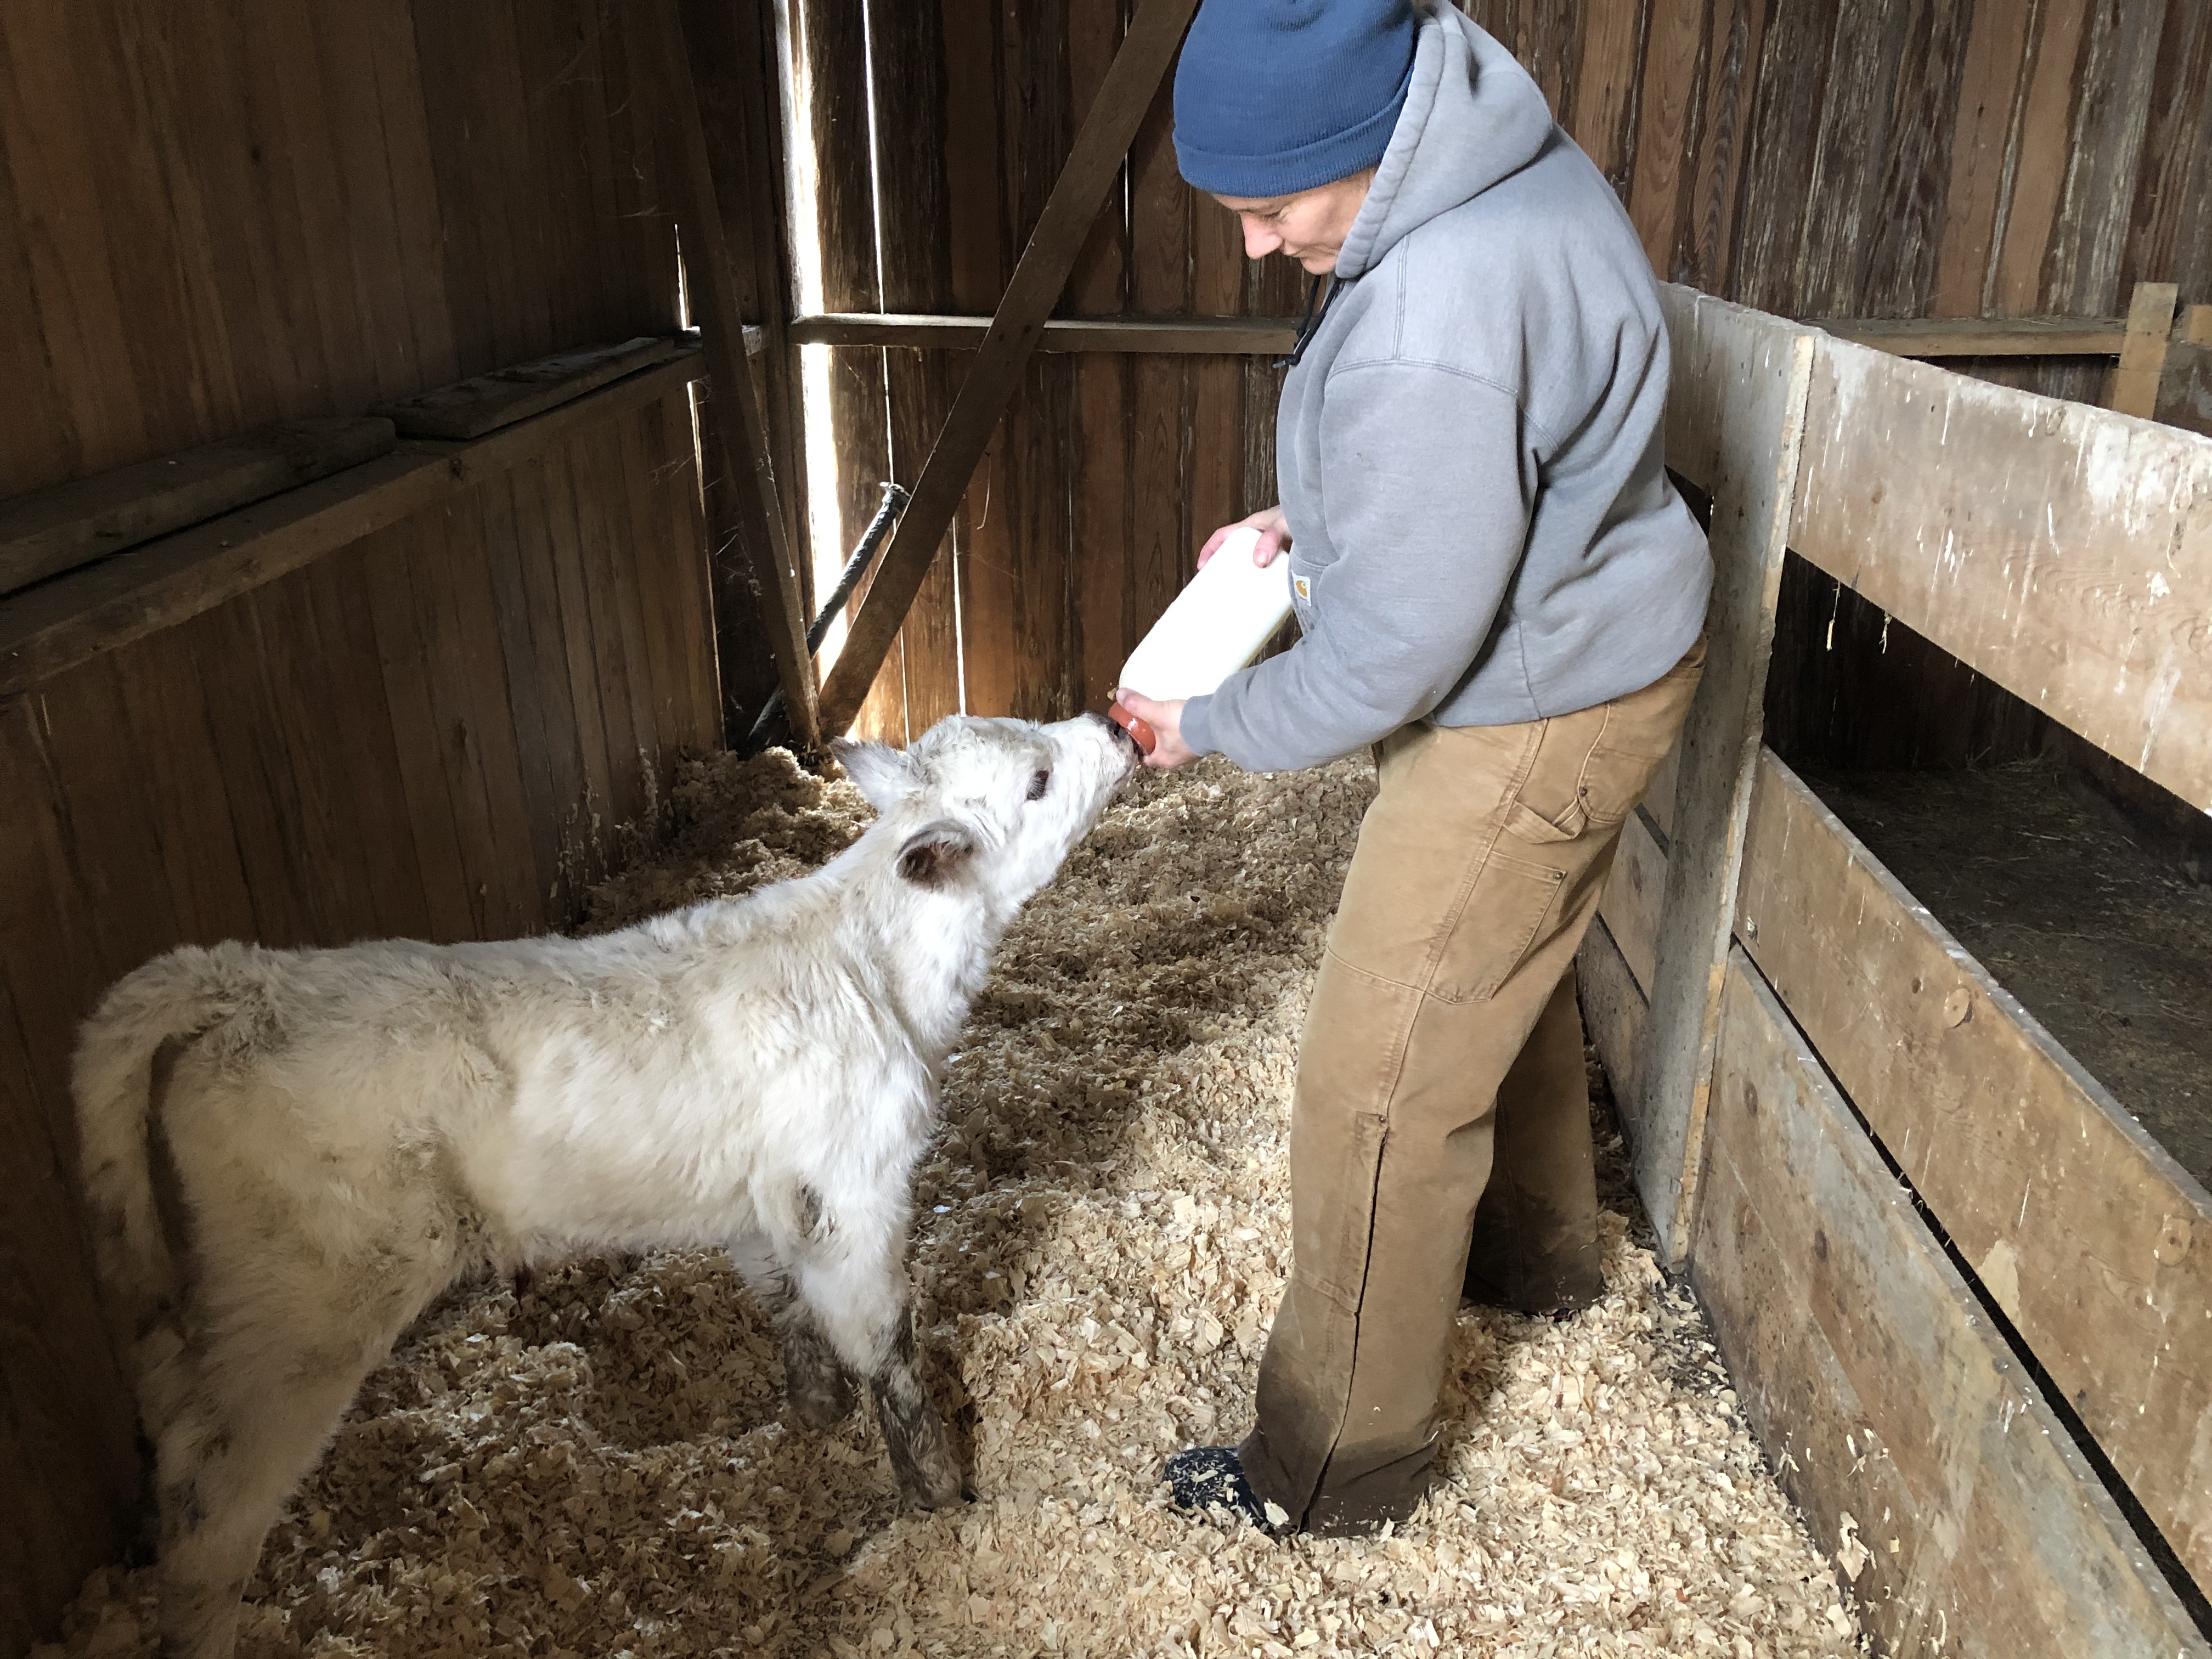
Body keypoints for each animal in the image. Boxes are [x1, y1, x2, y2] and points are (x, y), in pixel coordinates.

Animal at [71, 710, 1143, 1659]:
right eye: (1038, 778)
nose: (1115, 726)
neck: (872, 963)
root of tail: (243, 982)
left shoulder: (767, 1198)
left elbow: (787, 1307)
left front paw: (813, 1416)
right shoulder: (855, 1188)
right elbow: (887, 1345)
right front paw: (935, 1491)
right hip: (307, 1299)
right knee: (212, 1493)